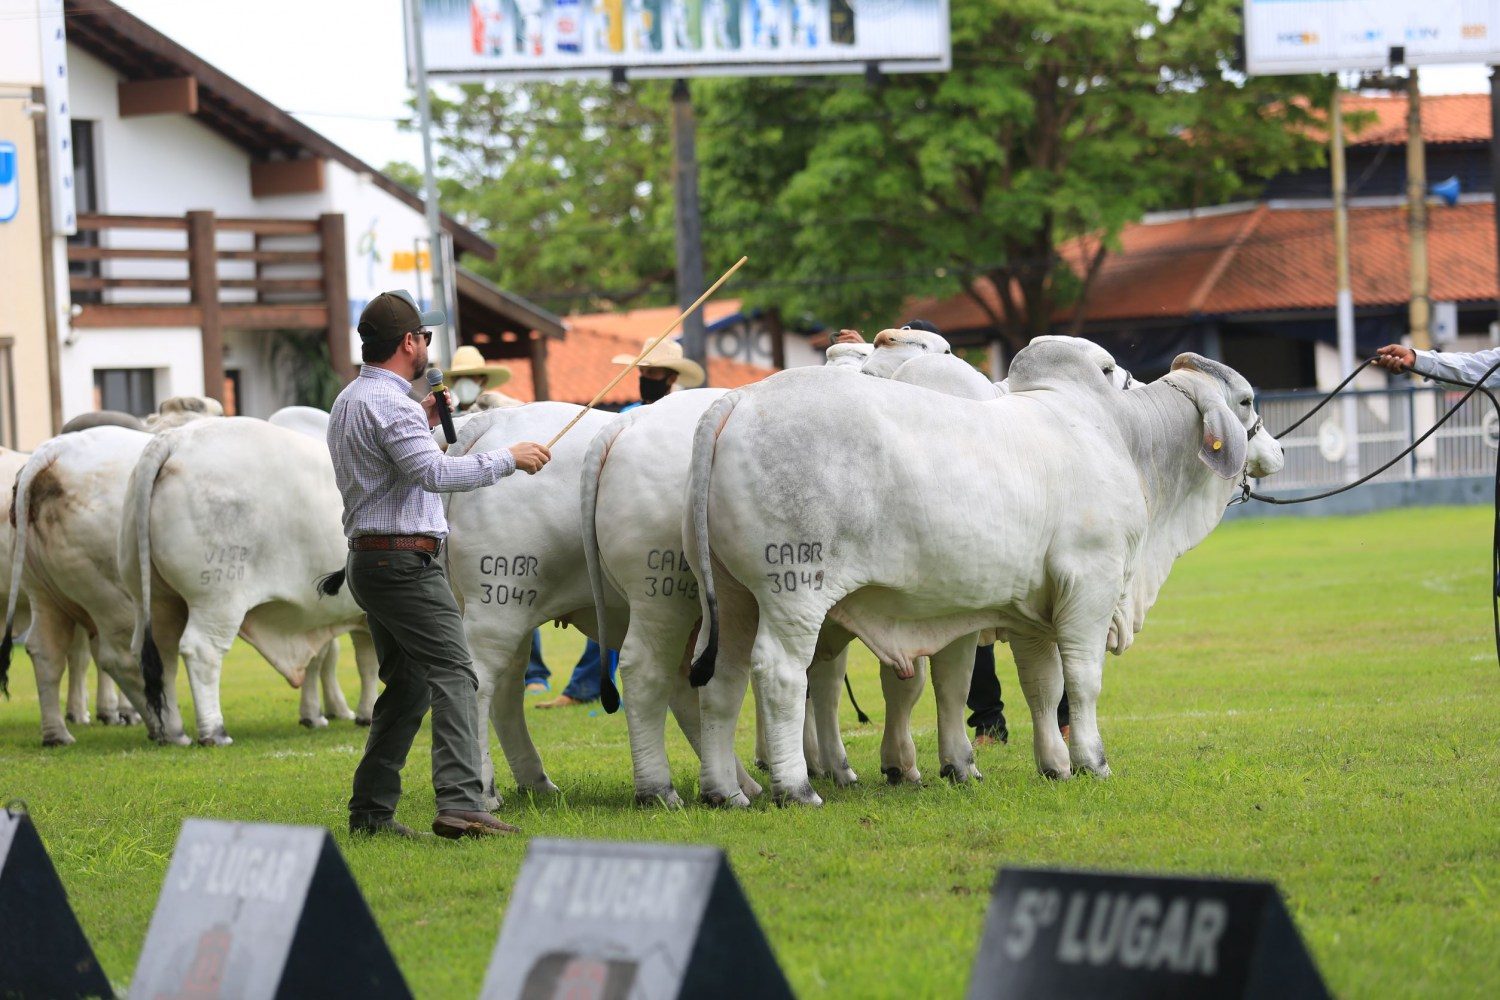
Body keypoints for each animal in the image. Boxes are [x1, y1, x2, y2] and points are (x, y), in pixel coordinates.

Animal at [122, 419, 378, 746]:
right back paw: (214, 732)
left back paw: (173, 733)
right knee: (201, 651)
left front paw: (361, 713)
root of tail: (175, 440)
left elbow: (362, 661)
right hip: (217, 600)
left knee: (160, 655)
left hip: (156, 600)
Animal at [687, 344, 1284, 803]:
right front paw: (1091, 760)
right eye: (1247, 401)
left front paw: (1054, 764)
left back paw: (726, 791)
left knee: (722, 682)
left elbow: (1042, 686)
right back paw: (795, 787)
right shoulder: (1090, 585)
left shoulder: (1034, 611)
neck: (1124, 439)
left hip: (735, 599)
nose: (1276, 449)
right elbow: (1082, 681)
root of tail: (741, 399)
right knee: (781, 676)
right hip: (794, 594)